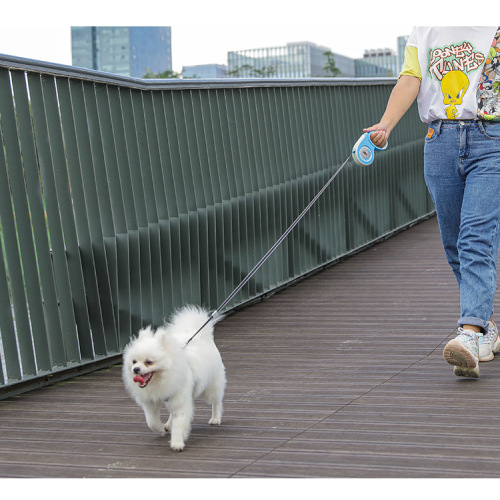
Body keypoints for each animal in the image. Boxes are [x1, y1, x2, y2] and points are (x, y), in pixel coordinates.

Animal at [123, 306, 227, 452]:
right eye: (134, 361)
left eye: (148, 362)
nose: (136, 369)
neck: (160, 380)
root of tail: (201, 335)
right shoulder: (151, 402)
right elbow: (152, 422)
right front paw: (161, 429)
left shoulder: (180, 400)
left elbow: (179, 423)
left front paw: (177, 443)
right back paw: (167, 425)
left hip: (211, 387)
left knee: (216, 402)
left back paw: (215, 418)